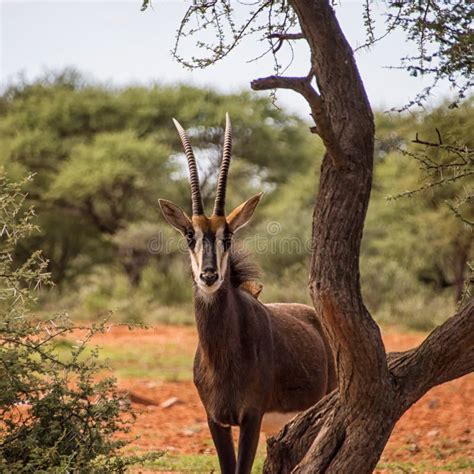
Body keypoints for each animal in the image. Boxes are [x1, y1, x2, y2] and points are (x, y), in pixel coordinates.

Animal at [159, 115, 336, 474]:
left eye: (227, 236)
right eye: (189, 236)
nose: (209, 275)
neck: (223, 353)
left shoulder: (251, 418)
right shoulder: (216, 420)